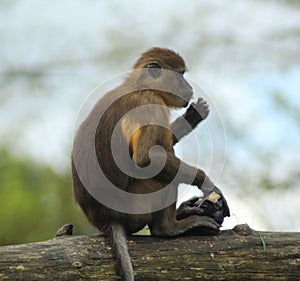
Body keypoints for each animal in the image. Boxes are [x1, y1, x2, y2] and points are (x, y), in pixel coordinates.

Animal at [72, 47, 230, 280]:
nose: (189, 87)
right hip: (136, 208)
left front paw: (192, 117)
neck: (139, 86)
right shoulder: (150, 103)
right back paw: (169, 228)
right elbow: (146, 159)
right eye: (180, 74)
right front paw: (205, 181)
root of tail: (105, 219)